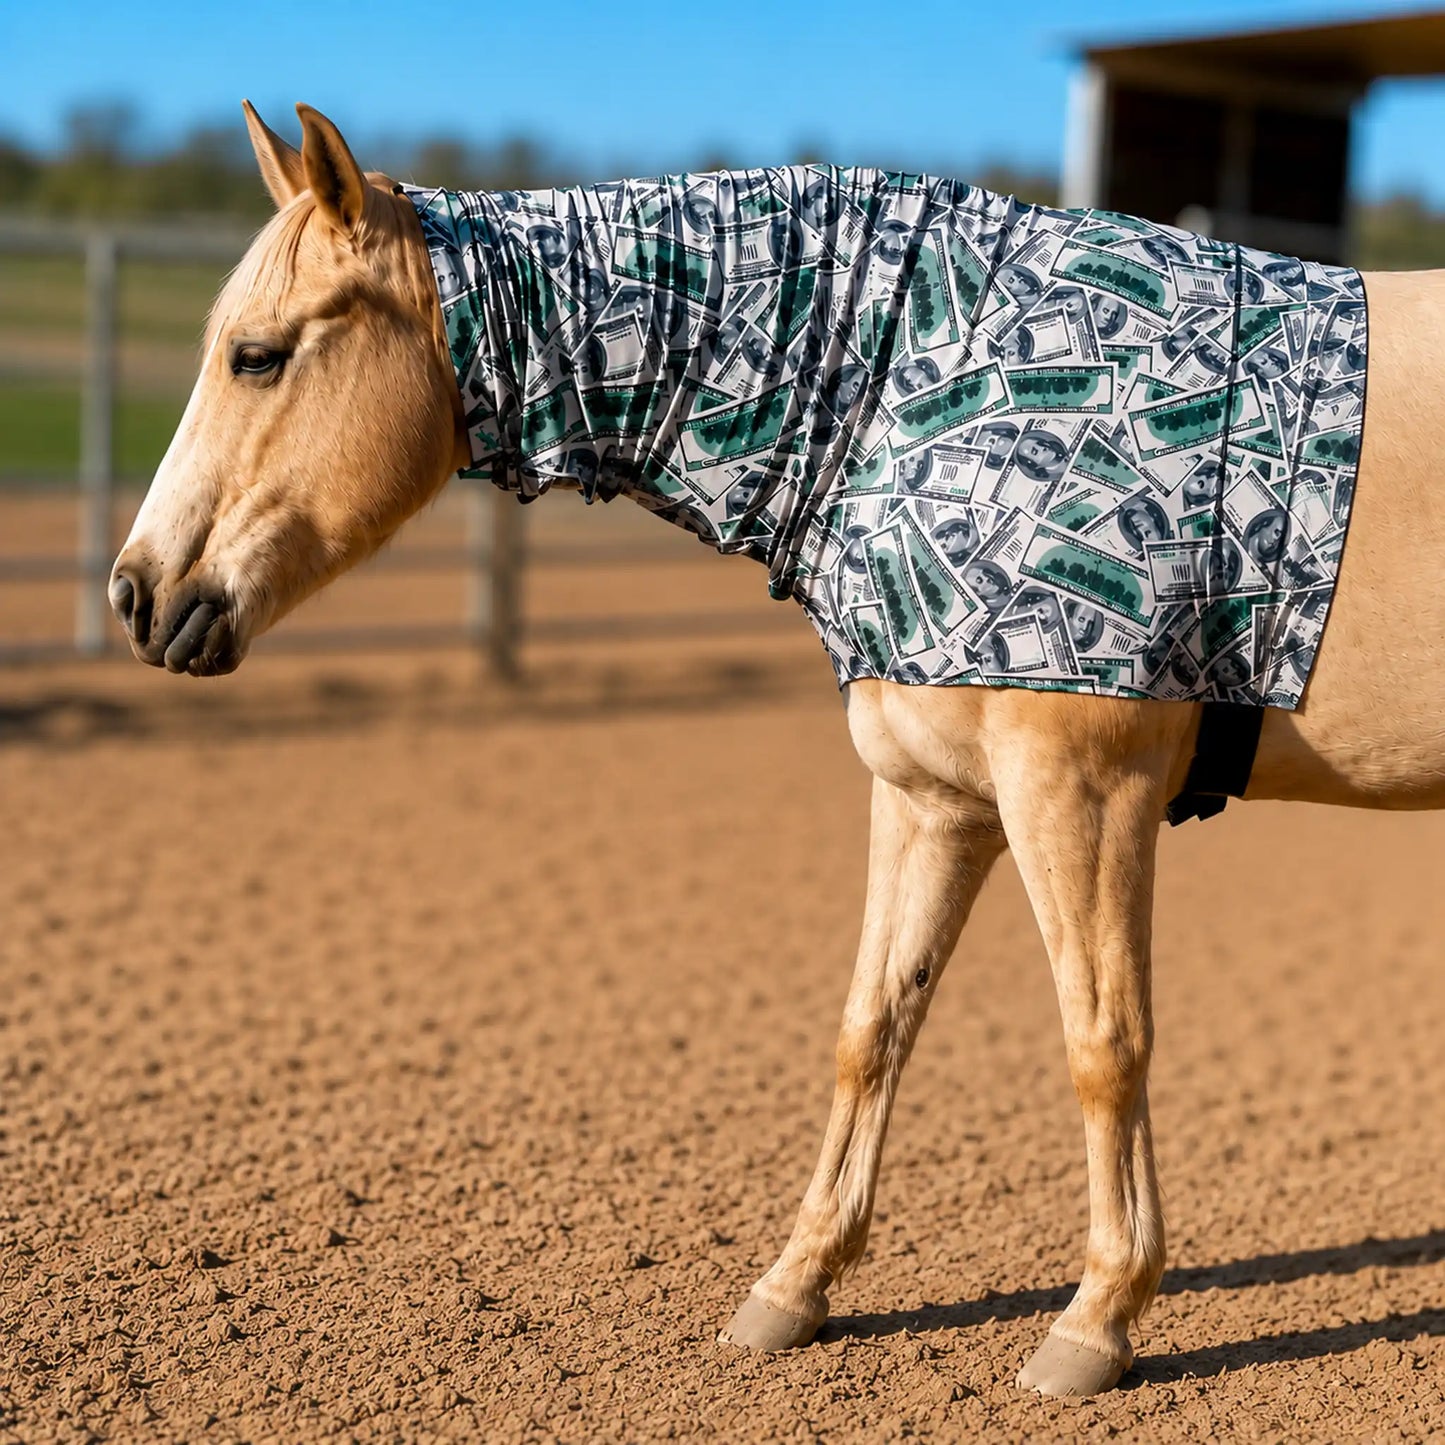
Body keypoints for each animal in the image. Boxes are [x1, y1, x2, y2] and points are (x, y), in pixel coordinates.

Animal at [109, 102, 1445, 1398]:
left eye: (256, 354)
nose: (135, 594)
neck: (913, 376)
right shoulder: (933, 799)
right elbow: (871, 1029)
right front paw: (795, 1287)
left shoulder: (1080, 793)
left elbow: (1101, 1045)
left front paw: (1096, 1321)